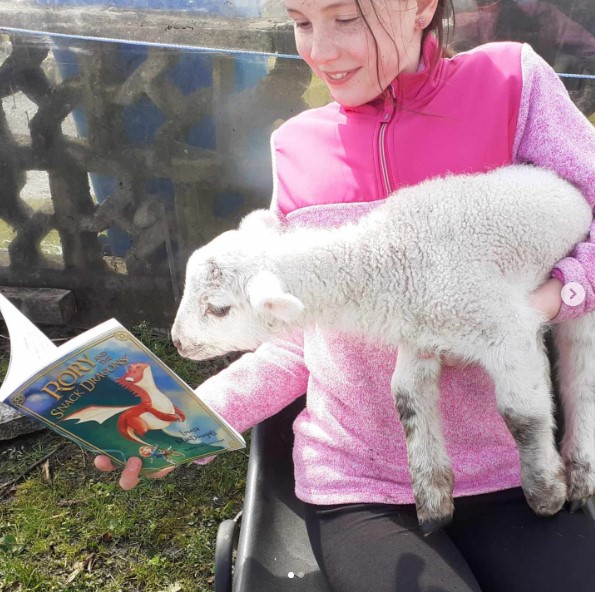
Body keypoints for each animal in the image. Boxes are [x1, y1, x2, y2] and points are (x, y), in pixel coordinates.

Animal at [170, 164, 595, 536]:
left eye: (218, 308)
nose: (177, 341)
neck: (386, 262)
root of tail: (556, 180)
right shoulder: (420, 338)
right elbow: (406, 399)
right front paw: (433, 503)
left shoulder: (503, 326)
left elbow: (520, 416)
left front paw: (545, 493)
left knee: (580, 377)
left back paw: (578, 475)